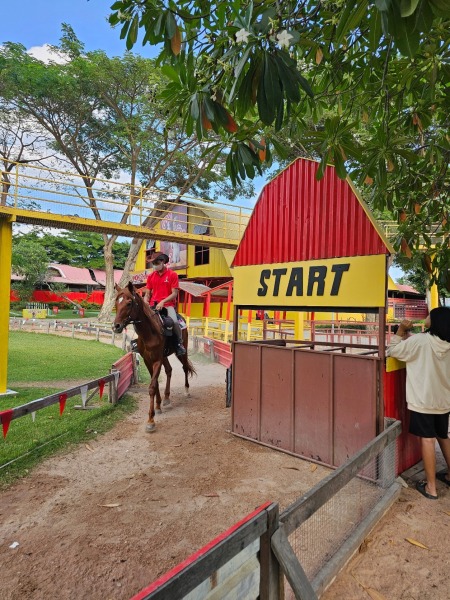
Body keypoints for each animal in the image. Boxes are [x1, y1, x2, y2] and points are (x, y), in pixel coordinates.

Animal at [113, 282, 196, 432]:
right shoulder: (148, 360)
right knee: (169, 370)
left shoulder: (157, 360)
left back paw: (187, 390)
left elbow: (152, 386)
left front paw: (151, 420)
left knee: (185, 367)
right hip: (164, 356)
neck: (149, 332)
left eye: (129, 303)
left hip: (182, 351)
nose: (116, 326)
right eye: (116, 302)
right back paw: (167, 398)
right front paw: (157, 406)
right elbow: (155, 382)